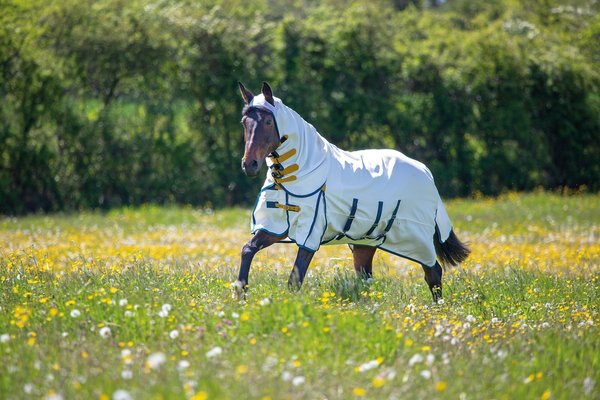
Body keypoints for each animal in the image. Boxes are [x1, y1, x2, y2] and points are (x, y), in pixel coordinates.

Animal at [234, 80, 468, 300]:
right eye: (244, 122)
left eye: (268, 121)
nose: (249, 165)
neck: (299, 172)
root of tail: (425, 171)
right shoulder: (274, 226)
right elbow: (248, 249)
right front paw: (240, 293)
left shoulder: (310, 232)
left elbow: (295, 279)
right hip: (366, 242)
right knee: (366, 277)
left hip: (416, 239)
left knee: (433, 272)